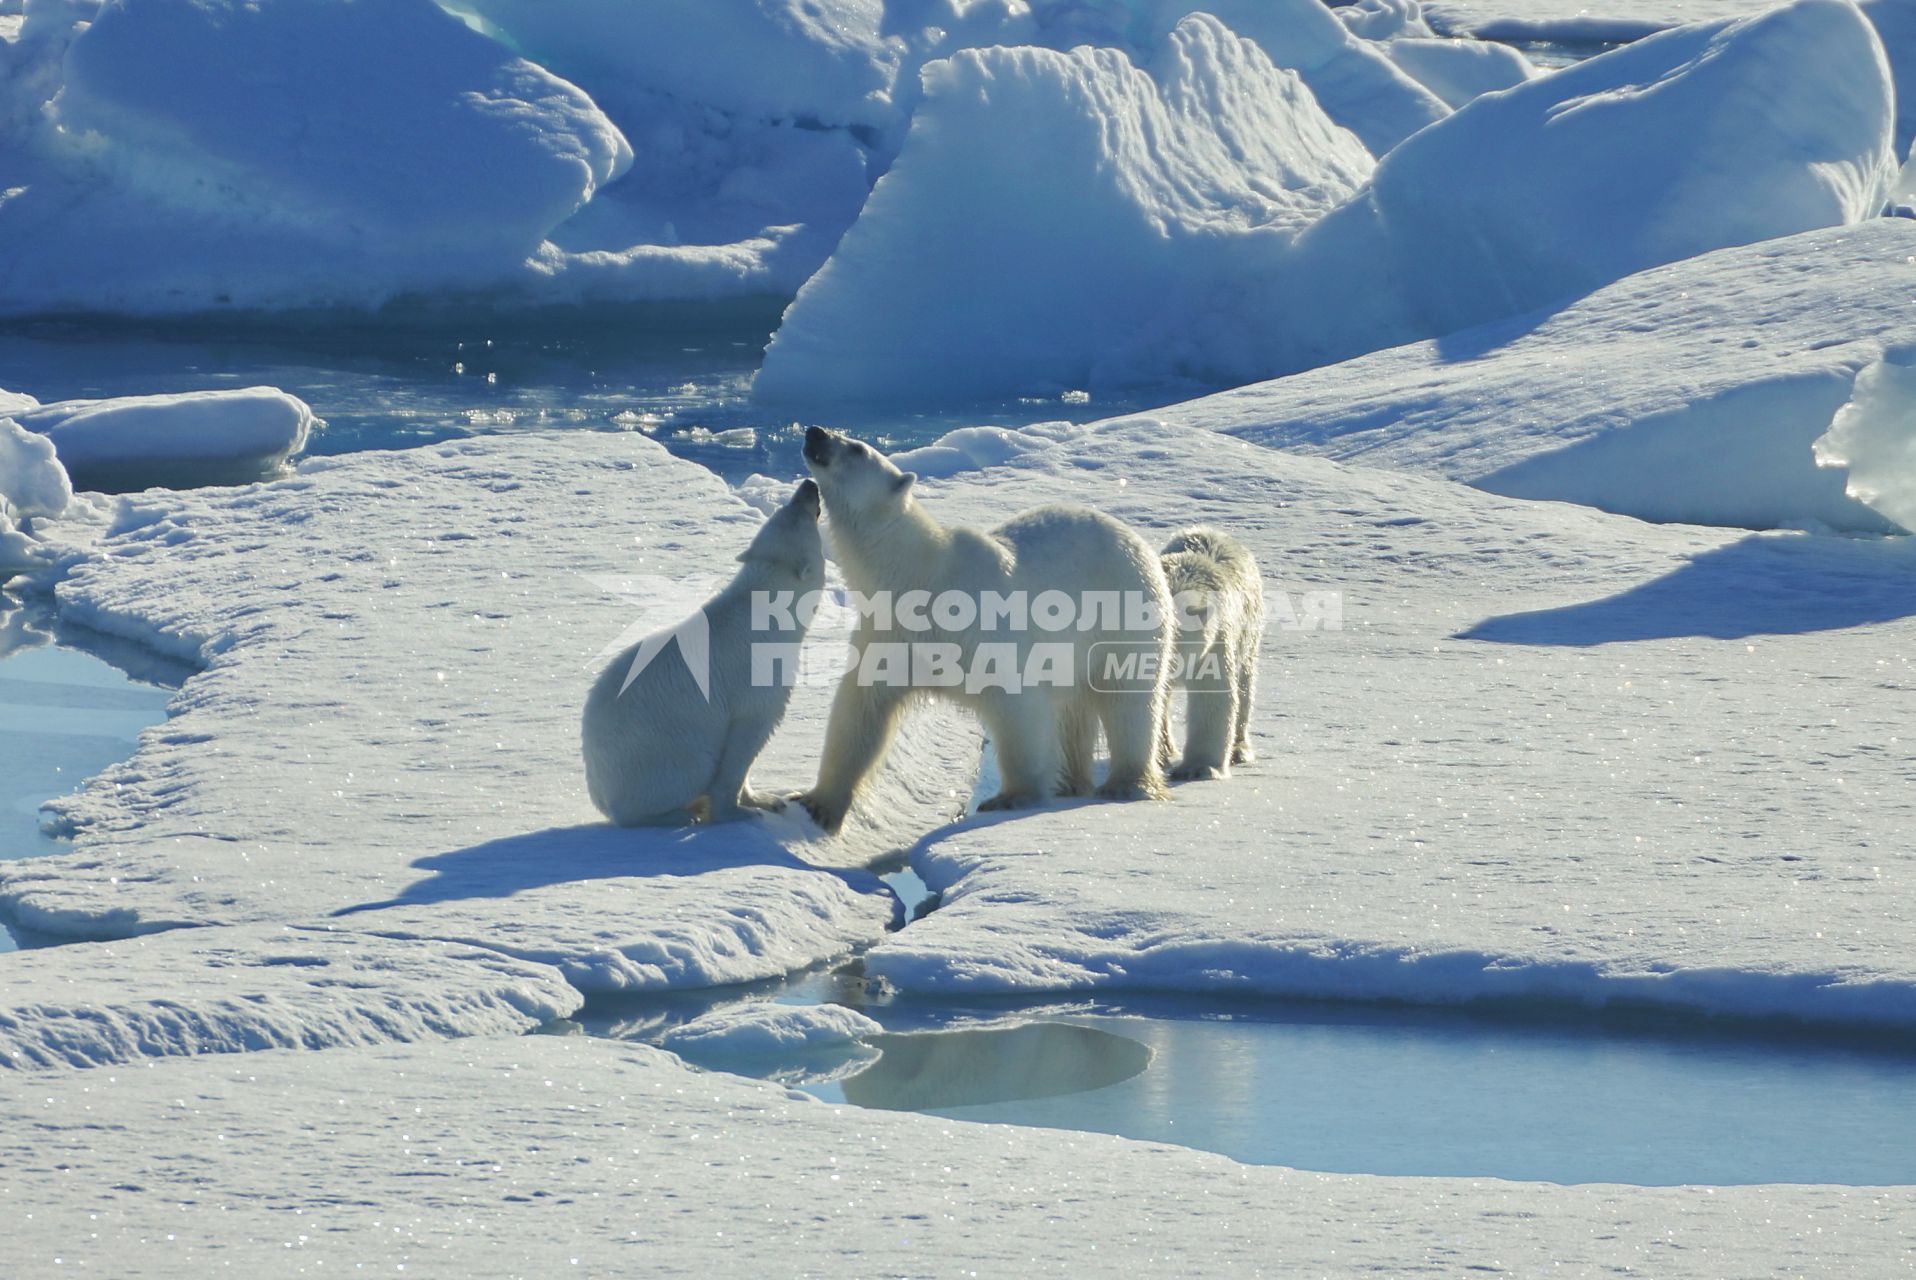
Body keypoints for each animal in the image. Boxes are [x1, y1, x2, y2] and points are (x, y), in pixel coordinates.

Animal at [582, 475, 823, 823]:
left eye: (787, 505)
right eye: (799, 512)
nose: (808, 483)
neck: (764, 607)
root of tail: (599, 792)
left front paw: (764, 798)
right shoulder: (754, 678)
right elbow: (745, 741)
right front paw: (740, 813)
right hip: (664, 754)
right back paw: (680, 815)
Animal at [789, 425, 1164, 835]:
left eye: (857, 448)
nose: (814, 432)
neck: (920, 576)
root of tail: (1134, 537)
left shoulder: (979, 625)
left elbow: (1017, 705)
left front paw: (1012, 796)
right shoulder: (891, 632)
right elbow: (860, 713)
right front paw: (817, 802)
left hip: (1124, 610)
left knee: (1127, 696)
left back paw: (1125, 782)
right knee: (1073, 711)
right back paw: (1071, 782)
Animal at [1157, 521, 1264, 781]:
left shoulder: (1214, 643)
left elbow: (1212, 697)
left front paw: (1198, 768)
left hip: (1249, 630)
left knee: (1245, 686)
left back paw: (1239, 750)